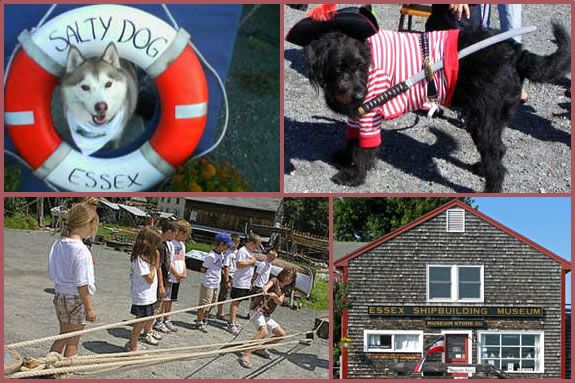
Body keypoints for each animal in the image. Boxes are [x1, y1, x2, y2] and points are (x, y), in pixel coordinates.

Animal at [306, 23, 572, 192]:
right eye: (340, 68)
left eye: (361, 66)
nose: (360, 94)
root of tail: (518, 54)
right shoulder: (357, 116)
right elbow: (351, 138)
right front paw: (344, 157)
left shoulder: (370, 117)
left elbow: (363, 150)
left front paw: (354, 176)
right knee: (499, 149)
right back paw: (482, 168)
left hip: (482, 119)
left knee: (496, 157)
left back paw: (491, 187)